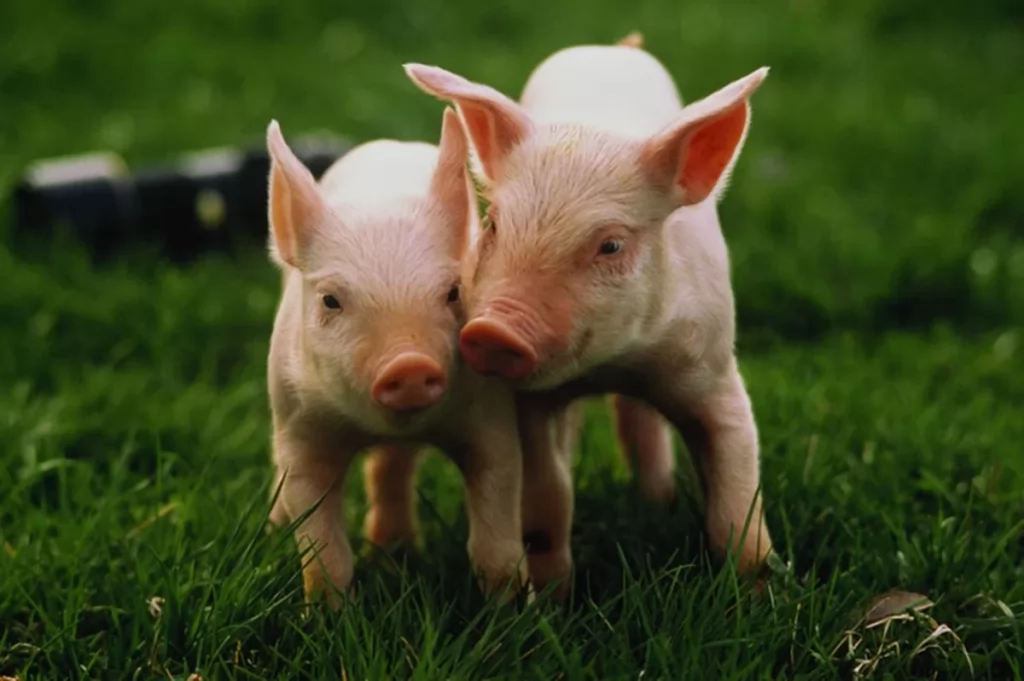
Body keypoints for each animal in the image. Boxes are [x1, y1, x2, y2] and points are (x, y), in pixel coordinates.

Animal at [263, 108, 531, 608]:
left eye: (453, 292)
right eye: (330, 300)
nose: (409, 365)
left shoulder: (489, 414)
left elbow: (497, 532)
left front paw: (514, 611)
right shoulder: (299, 426)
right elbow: (321, 546)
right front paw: (325, 617)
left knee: (391, 466)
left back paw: (395, 551)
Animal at [403, 32, 775, 577]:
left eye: (611, 245)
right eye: (493, 225)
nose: (492, 330)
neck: (613, 364)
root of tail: (616, 46)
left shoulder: (713, 370)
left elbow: (737, 505)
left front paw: (757, 586)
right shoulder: (531, 401)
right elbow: (548, 498)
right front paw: (553, 593)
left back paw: (657, 501)